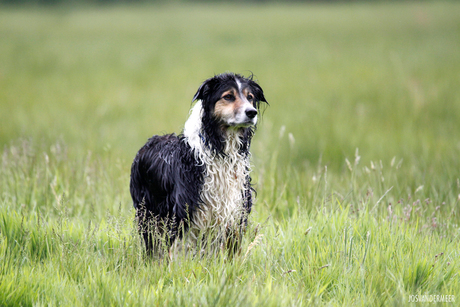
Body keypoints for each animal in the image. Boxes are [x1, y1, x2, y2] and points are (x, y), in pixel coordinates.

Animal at [128, 73, 266, 258]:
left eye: (250, 97)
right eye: (228, 96)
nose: (251, 112)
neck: (221, 150)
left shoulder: (235, 211)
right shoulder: (183, 213)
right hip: (147, 213)